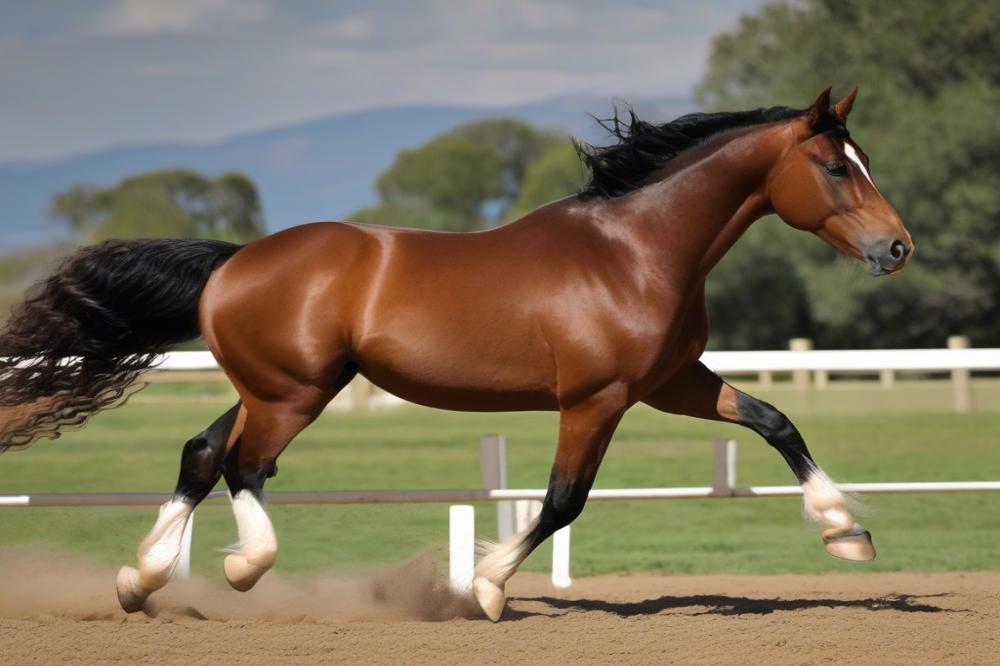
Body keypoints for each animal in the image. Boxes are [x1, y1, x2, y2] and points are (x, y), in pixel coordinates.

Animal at [0, 87, 912, 616]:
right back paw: (242, 569)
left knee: (200, 453)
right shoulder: (598, 399)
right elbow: (562, 500)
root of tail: (234, 260)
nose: (898, 249)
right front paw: (486, 585)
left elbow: (777, 421)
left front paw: (847, 534)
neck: (635, 252)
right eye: (836, 167)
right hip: (294, 395)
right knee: (243, 466)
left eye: (867, 158)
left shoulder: (672, 382)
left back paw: (140, 581)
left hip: (281, 386)